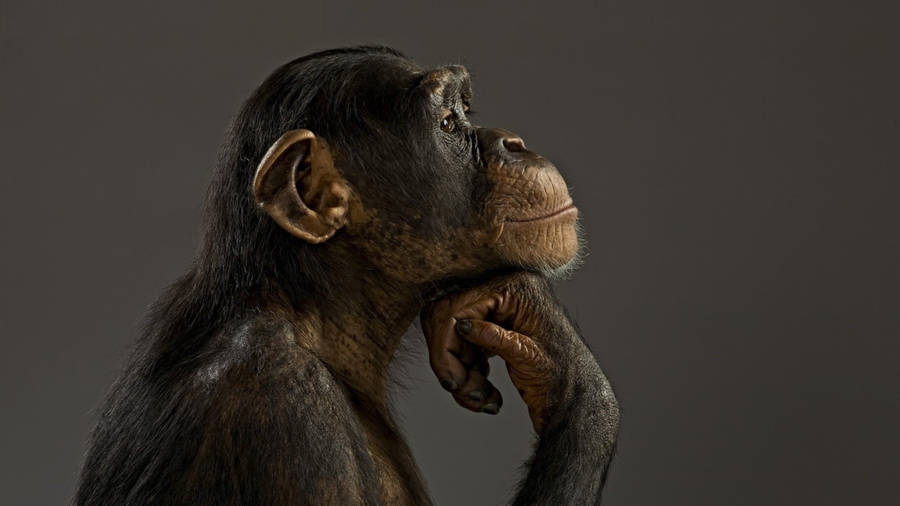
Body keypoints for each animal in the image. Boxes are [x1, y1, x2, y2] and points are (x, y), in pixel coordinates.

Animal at [75, 45, 619, 505]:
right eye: (447, 122)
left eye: (466, 112)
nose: (515, 142)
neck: (311, 314)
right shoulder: (286, 418)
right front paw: (563, 359)